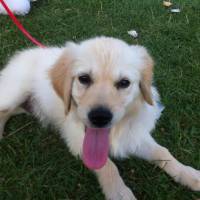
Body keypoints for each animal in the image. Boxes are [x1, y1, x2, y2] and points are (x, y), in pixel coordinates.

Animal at [0, 36, 199, 199]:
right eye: (84, 78)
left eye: (124, 83)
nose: (100, 117)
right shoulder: (77, 139)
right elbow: (108, 166)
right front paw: (120, 194)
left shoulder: (133, 135)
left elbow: (162, 152)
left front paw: (189, 174)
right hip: (13, 94)